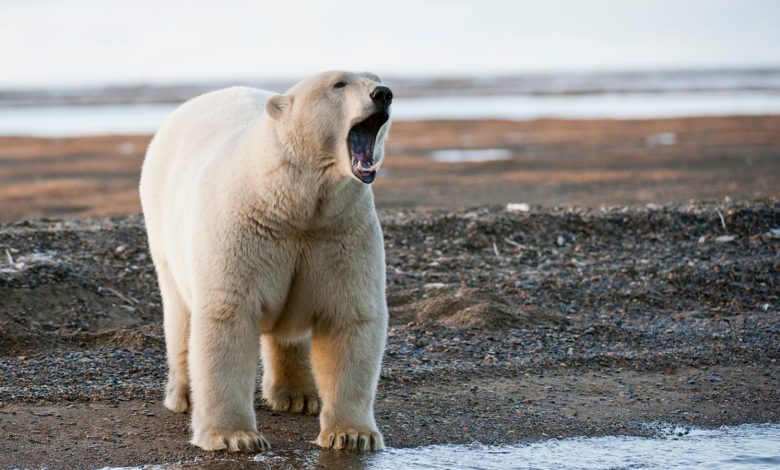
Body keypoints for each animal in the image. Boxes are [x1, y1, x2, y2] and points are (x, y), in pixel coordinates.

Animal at [138, 72, 394, 452]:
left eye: (376, 78)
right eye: (339, 84)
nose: (383, 93)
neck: (292, 202)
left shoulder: (339, 231)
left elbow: (350, 316)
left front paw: (352, 435)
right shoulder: (245, 229)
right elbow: (228, 314)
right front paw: (235, 437)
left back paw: (299, 395)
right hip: (163, 231)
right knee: (180, 313)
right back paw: (183, 394)